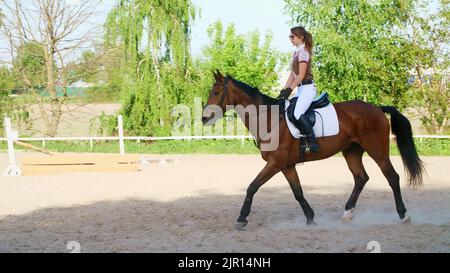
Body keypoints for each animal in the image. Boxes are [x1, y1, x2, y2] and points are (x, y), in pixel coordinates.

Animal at [202, 70, 424, 230]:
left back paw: (404, 215)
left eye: (216, 92)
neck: (269, 120)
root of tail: (377, 108)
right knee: (361, 178)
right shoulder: (286, 166)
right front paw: (310, 218)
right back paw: (347, 213)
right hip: (351, 151)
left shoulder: (275, 164)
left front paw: (241, 218)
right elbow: (298, 192)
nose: (204, 118)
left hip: (377, 151)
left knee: (392, 177)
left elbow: (252, 187)